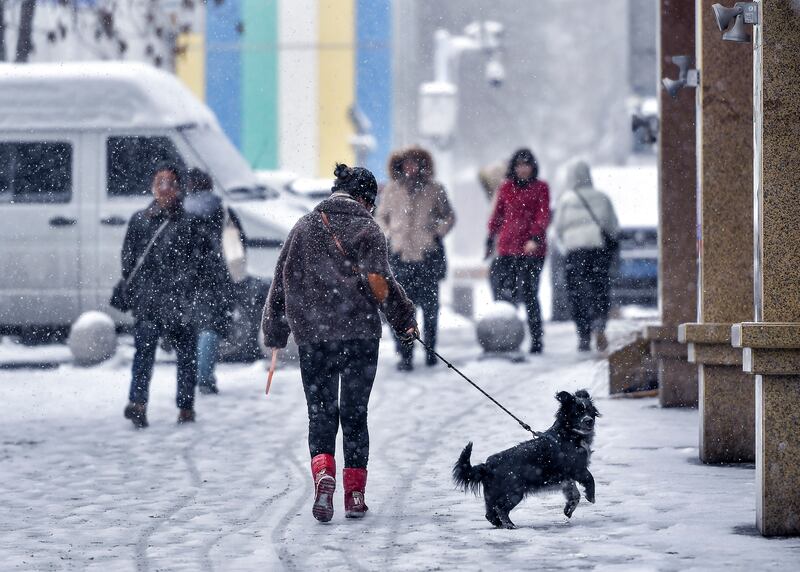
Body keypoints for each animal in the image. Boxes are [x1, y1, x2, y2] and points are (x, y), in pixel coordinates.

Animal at [454, 392, 596, 528]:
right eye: (577, 412)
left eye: (590, 411)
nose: (589, 421)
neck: (569, 434)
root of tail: (487, 466)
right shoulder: (577, 468)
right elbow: (590, 478)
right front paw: (591, 496)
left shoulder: (567, 477)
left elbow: (575, 494)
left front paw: (568, 509)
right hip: (514, 492)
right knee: (500, 509)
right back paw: (510, 525)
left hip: (491, 495)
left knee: (490, 513)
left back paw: (500, 524)